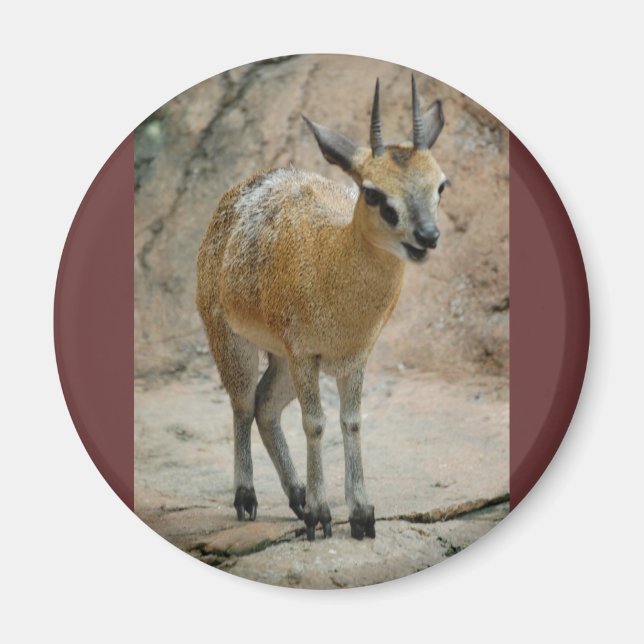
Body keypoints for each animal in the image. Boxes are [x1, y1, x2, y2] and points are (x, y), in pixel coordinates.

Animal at [196, 76, 447, 540]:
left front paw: (361, 514)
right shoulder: (305, 353)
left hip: (278, 357)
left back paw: (295, 496)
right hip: (231, 338)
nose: (427, 235)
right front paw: (322, 514)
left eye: (441, 184)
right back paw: (248, 498)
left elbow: (351, 420)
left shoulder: (354, 356)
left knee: (265, 404)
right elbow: (315, 422)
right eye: (373, 192)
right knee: (243, 402)